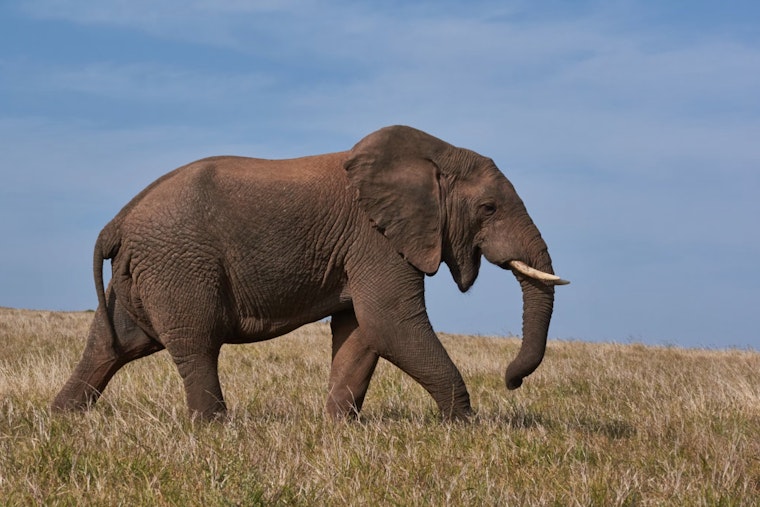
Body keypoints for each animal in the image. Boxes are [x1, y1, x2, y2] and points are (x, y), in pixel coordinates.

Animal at [52, 125, 568, 421]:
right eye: (488, 208)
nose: (511, 381)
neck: (434, 155)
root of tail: (118, 221)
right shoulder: (375, 238)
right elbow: (391, 323)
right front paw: (461, 426)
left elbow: (361, 331)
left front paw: (338, 429)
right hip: (178, 264)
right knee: (195, 344)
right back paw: (213, 429)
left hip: (143, 273)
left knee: (113, 344)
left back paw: (63, 419)